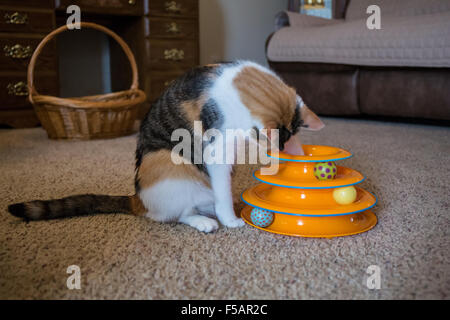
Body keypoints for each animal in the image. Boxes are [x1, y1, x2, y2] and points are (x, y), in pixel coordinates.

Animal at [7, 61, 324, 234]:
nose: (283, 152)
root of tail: (138, 199)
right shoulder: (216, 152)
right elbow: (221, 190)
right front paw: (230, 220)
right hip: (169, 162)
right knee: (178, 214)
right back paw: (206, 222)